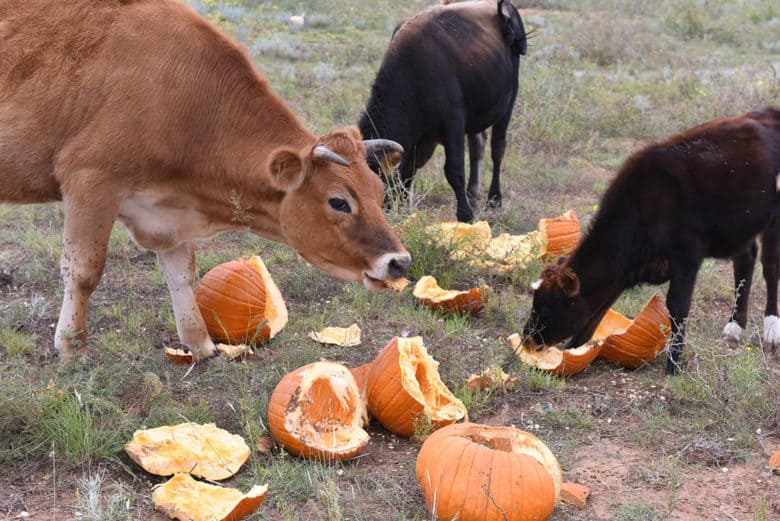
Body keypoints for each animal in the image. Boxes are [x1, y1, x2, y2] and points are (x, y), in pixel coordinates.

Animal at [0, 0, 412, 360]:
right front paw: (72, 348)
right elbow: (84, 271)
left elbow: (182, 273)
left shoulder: (163, 211)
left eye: (380, 192)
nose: (400, 262)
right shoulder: (90, 181)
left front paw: (200, 343)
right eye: (339, 201)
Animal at [360, 0, 532, 221]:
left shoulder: (452, 125)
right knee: (478, 145)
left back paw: (494, 199)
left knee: (497, 148)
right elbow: (408, 170)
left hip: (508, 103)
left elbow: (454, 170)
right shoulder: (423, 139)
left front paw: (465, 215)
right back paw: (472, 194)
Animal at [516, 107, 780, 372]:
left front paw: (674, 364)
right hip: (741, 225)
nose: (527, 339)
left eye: (545, 309)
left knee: (770, 268)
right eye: (534, 304)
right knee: (746, 259)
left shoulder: (687, 255)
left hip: (773, 220)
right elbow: (597, 311)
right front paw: (575, 348)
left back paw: (771, 331)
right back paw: (734, 327)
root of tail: (768, 113)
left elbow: (677, 307)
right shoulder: (621, 273)